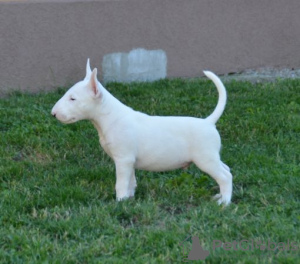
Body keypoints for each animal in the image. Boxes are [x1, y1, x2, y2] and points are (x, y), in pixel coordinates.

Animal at [51, 58, 233, 205]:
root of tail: (208, 122)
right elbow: (131, 181)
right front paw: (129, 199)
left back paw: (224, 202)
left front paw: (119, 202)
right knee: (227, 170)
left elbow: (121, 183)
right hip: (212, 157)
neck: (110, 117)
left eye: (73, 98)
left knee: (224, 176)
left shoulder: (123, 159)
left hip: (205, 158)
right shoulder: (129, 160)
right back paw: (220, 196)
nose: (53, 113)